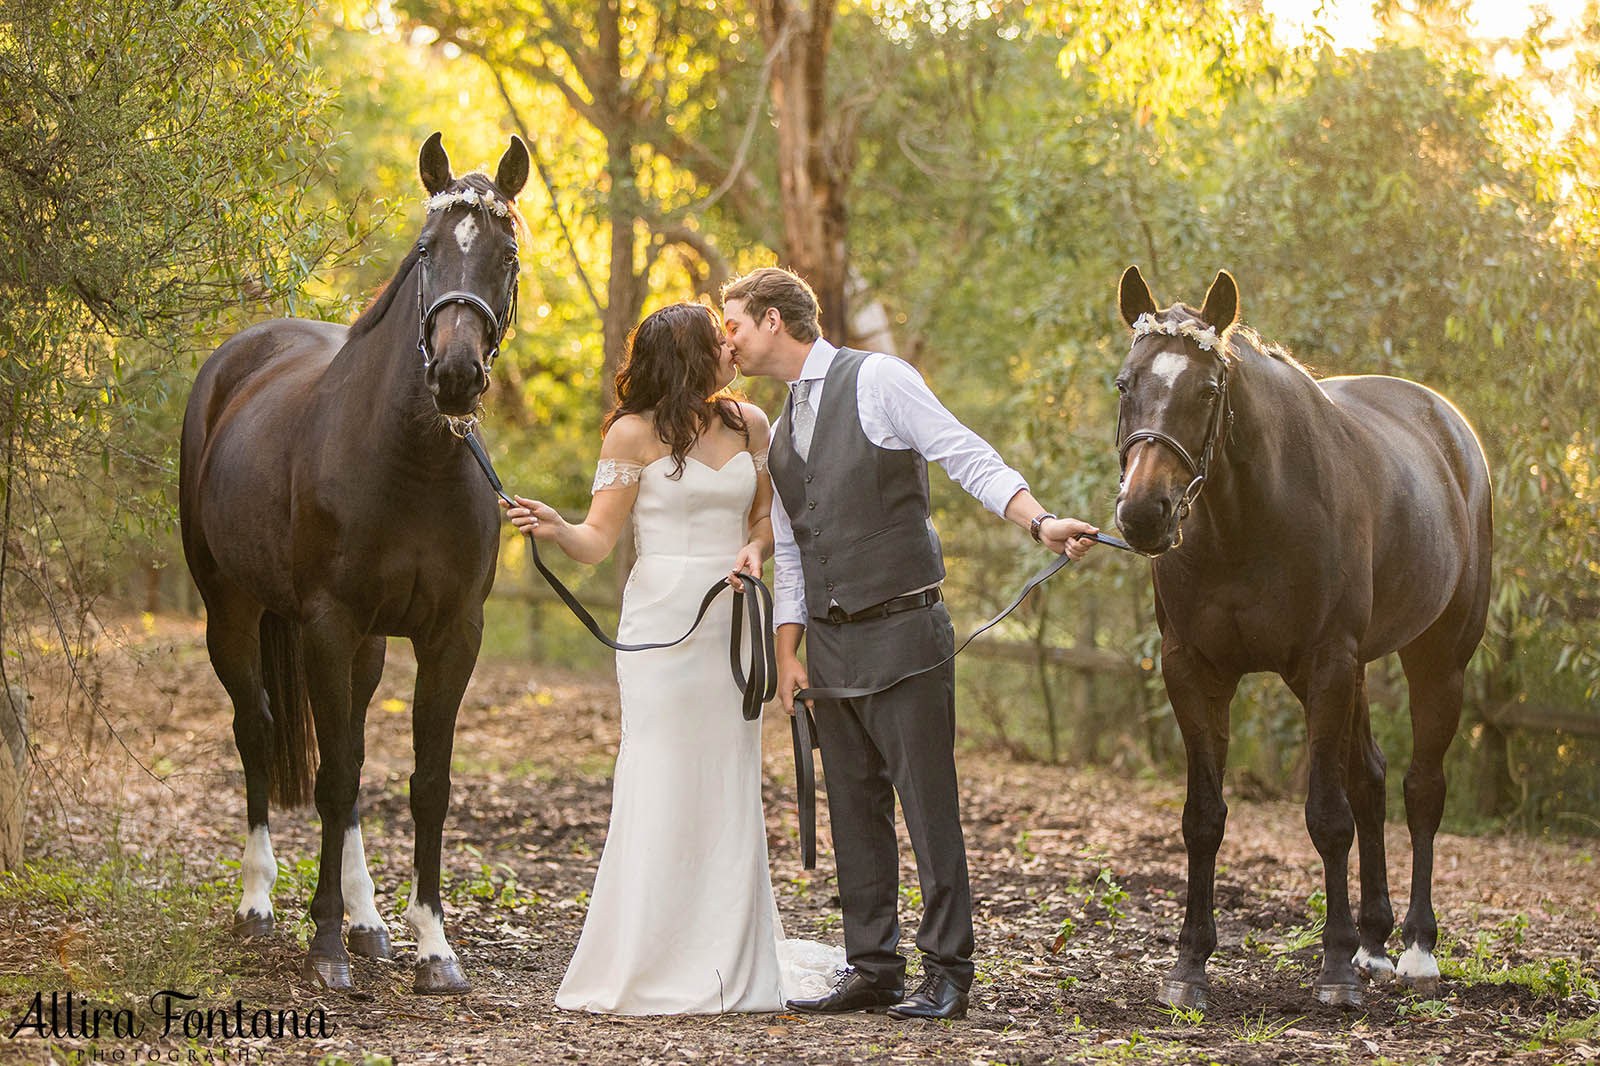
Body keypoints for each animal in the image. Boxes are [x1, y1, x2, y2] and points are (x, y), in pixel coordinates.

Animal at [180, 135, 528, 998]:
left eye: (505, 256)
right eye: (426, 251)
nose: (455, 376)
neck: (412, 461)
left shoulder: (450, 636)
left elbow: (425, 784)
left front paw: (432, 947)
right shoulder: (327, 627)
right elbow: (333, 778)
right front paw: (324, 942)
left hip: (366, 647)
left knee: (356, 754)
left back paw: (369, 920)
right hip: (230, 613)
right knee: (257, 732)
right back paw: (259, 903)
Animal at [1120, 265, 1491, 1005]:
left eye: (1208, 391)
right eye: (1125, 384)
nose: (1145, 513)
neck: (1246, 520)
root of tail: (1450, 428)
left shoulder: (1327, 664)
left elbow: (1327, 816)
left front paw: (1336, 969)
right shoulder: (1192, 670)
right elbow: (1203, 819)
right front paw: (1189, 965)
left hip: (1437, 660)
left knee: (1420, 789)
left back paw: (1415, 950)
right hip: (1351, 672)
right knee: (1371, 779)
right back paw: (1375, 942)